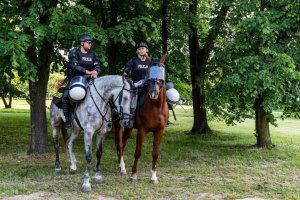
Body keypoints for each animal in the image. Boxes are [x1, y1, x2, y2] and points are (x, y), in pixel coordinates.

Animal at [113, 54, 169, 183]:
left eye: (161, 71)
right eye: (148, 71)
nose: (153, 93)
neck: (156, 107)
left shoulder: (159, 131)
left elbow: (155, 153)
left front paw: (153, 176)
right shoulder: (142, 130)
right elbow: (138, 152)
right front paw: (134, 175)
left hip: (128, 127)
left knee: (123, 144)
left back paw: (120, 165)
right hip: (118, 125)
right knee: (120, 144)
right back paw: (122, 168)